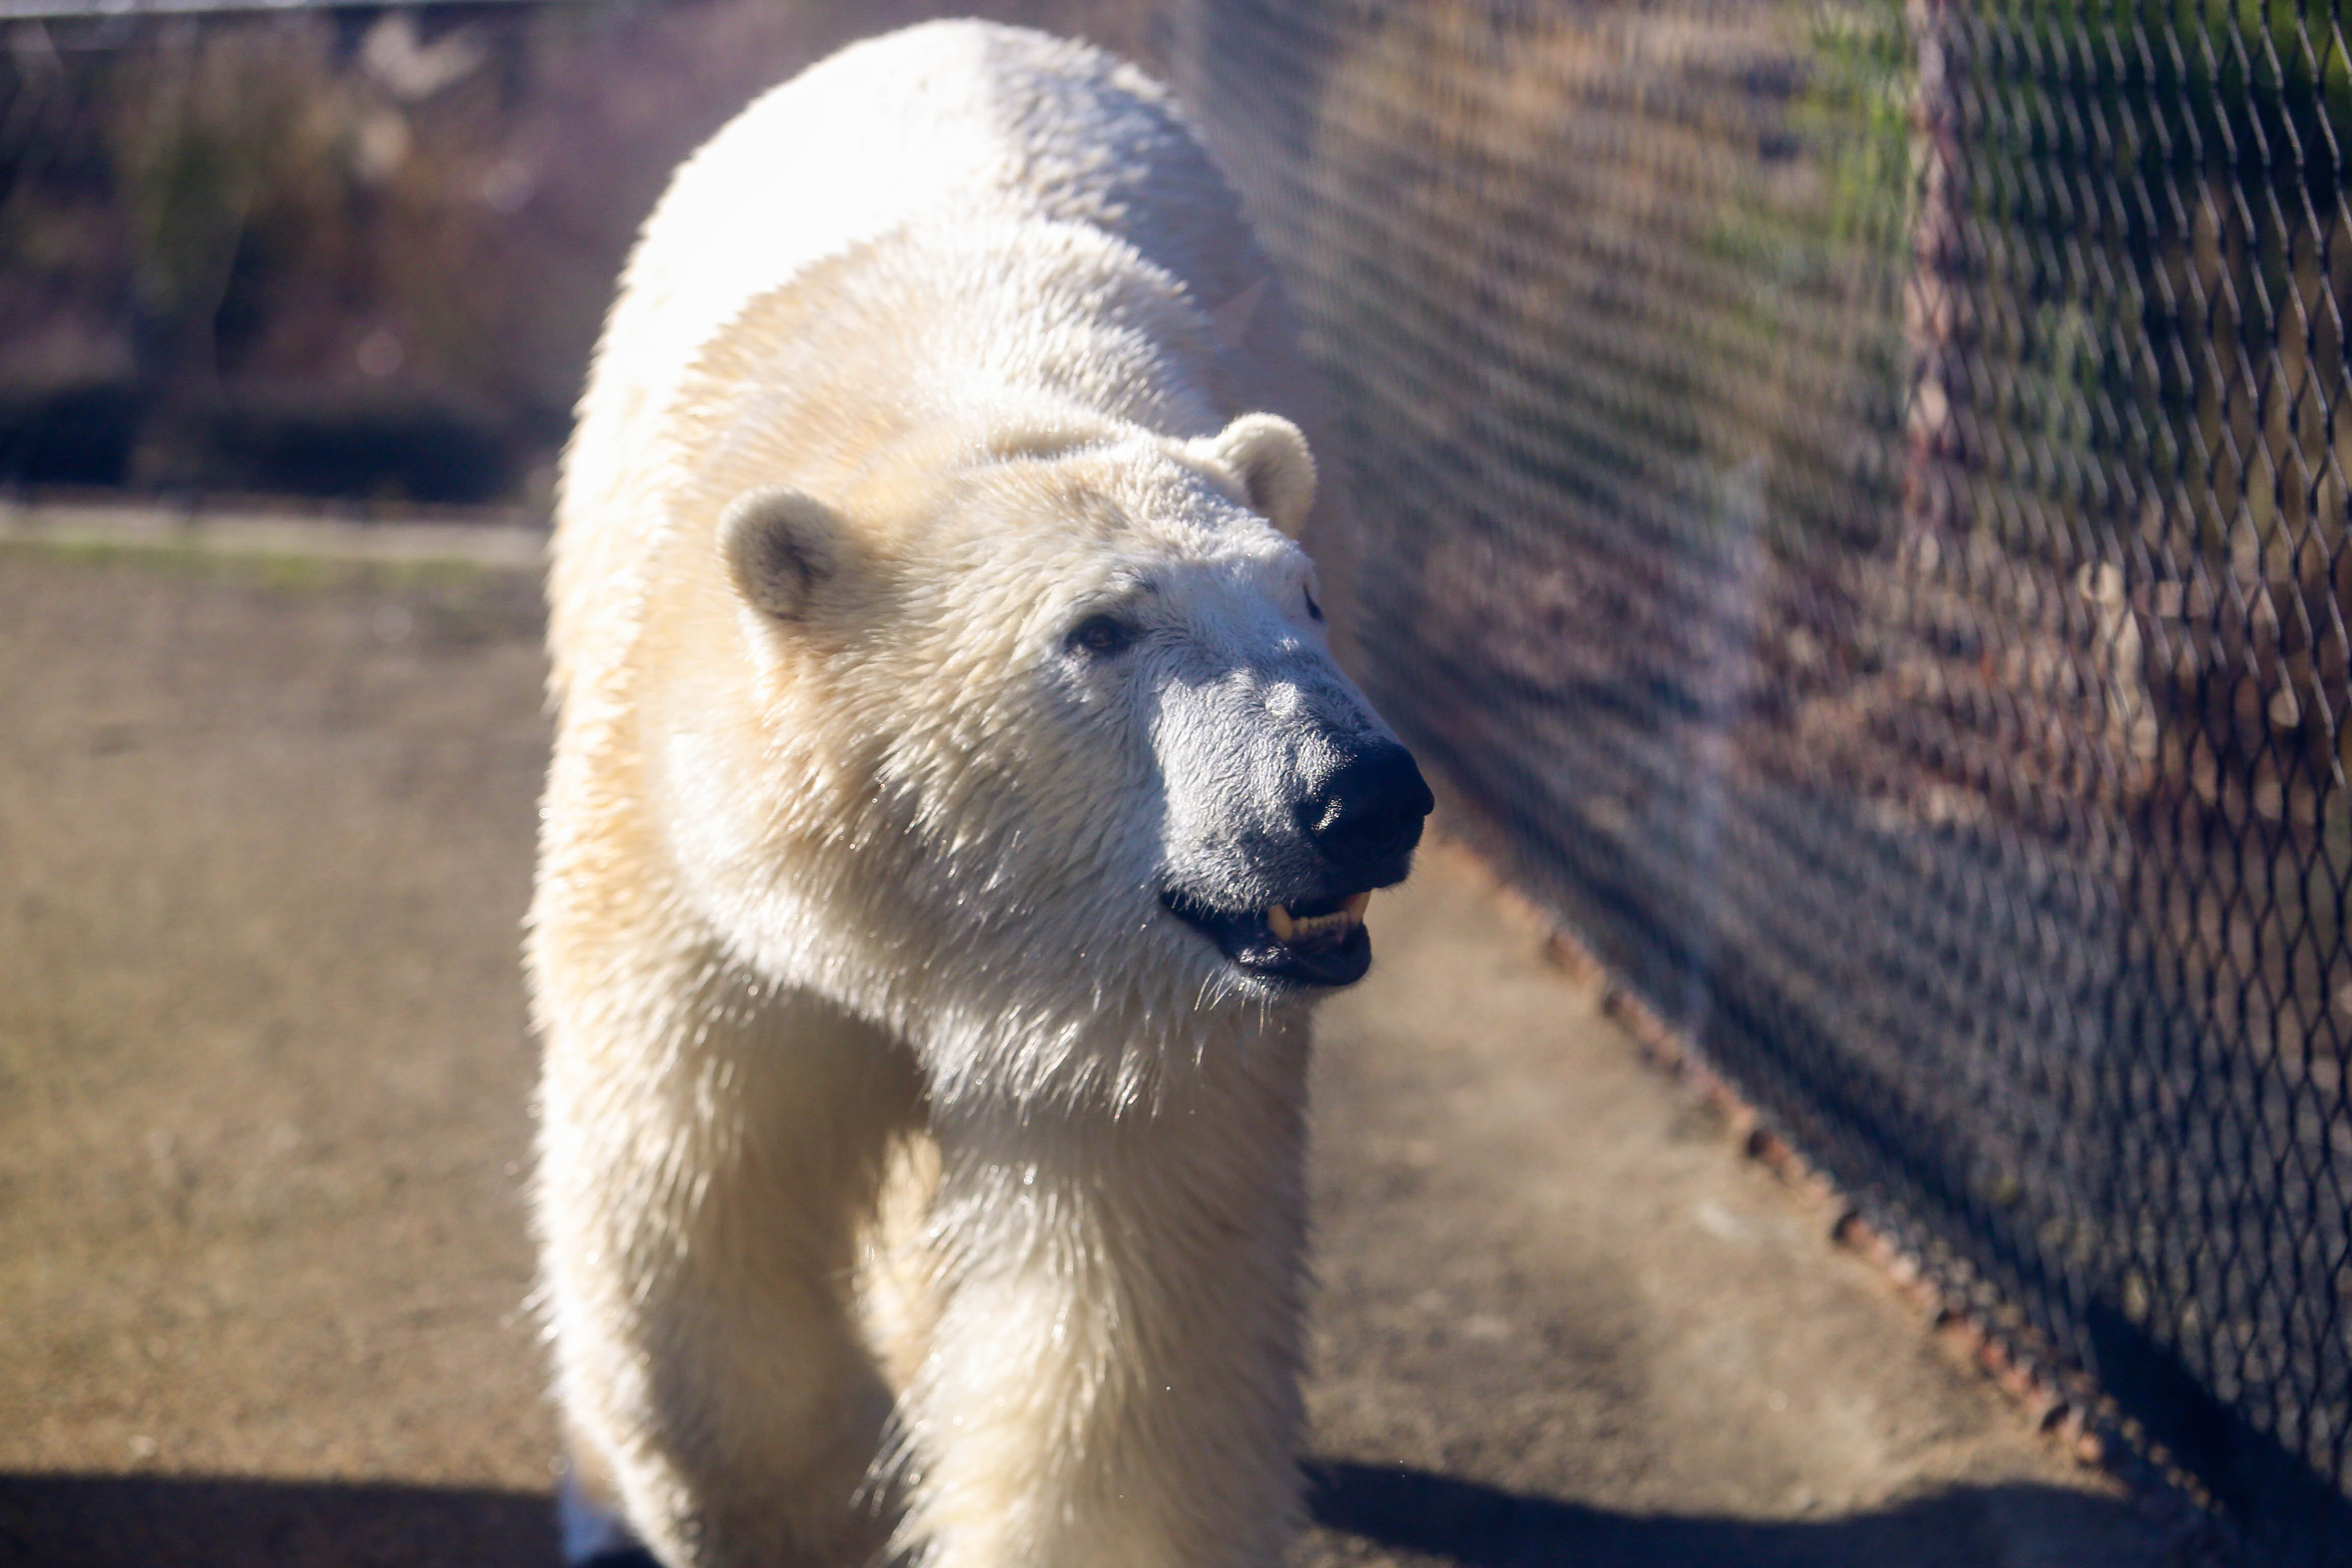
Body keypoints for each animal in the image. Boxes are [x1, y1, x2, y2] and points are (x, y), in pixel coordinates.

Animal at [527, 20, 1434, 1568]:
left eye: (1305, 598)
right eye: (1102, 629)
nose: (1358, 794)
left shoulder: (1138, 1021)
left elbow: (1122, 1317)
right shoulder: (693, 869)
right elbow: (695, 1187)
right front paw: (805, 1503)